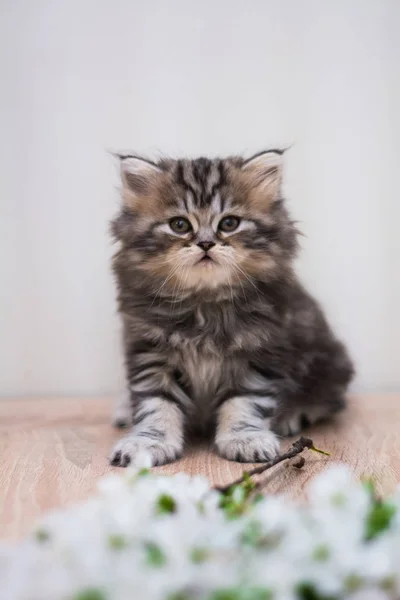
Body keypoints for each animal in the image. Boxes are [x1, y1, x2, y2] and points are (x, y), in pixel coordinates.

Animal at [108, 151, 354, 468]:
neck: (204, 303)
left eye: (229, 223)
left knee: (329, 399)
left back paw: (291, 414)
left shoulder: (260, 351)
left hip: (329, 361)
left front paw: (245, 439)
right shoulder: (149, 349)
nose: (205, 243)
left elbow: (244, 401)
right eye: (179, 225)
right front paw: (148, 443)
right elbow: (156, 403)